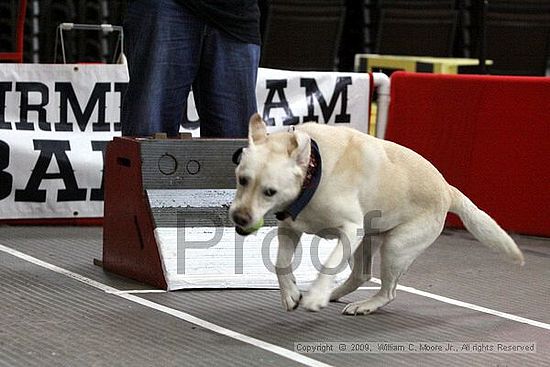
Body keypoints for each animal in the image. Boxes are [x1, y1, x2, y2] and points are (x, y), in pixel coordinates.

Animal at [230, 115, 528, 316]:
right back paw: (335, 294)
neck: (313, 173)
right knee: (360, 276)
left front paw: (314, 297)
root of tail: (447, 188)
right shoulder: (290, 227)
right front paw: (291, 294)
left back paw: (360, 304)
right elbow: (280, 262)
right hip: (369, 240)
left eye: (270, 191)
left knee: (388, 291)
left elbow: (329, 264)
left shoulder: (350, 229)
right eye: (242, 180)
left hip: (396, 248)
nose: (239, 218)